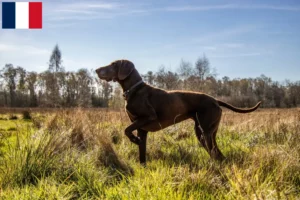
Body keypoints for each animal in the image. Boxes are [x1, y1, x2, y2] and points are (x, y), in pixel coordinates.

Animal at [95, 60, 260, 165]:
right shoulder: (142, 129)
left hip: (205, 132)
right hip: (205, 132)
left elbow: (126, 130)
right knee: (217, 153)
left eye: (113, 64)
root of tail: (215, 100)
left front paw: (134, 140)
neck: (134, 90)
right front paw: (142, 165)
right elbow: (141, 152)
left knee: (213, 152)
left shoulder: (148, 117)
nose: (96, 70)